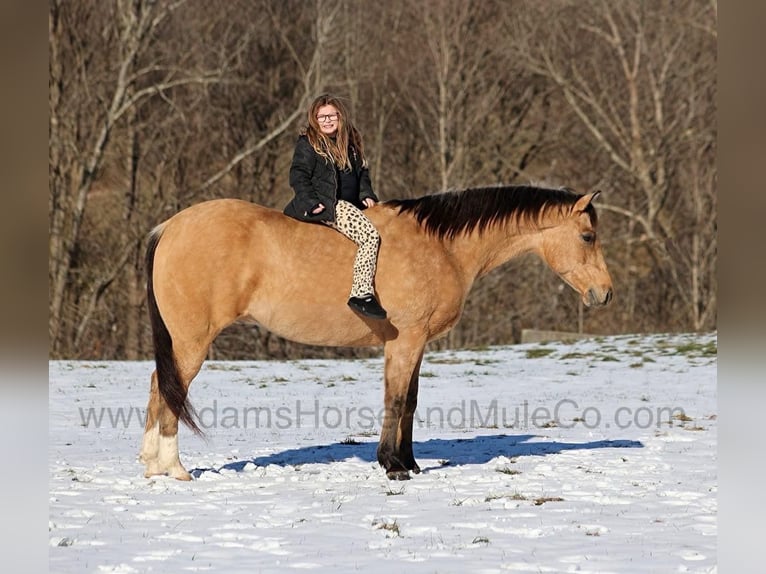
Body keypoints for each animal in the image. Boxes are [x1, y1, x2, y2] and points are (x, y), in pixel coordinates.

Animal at [140, 185, 613, 481]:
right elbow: (397, 400)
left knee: (158, 386)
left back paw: (151, 464)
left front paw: (410, 462)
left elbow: (411, 402)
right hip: (192, 342)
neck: (441, 245)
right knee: (171, 390)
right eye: (588, 236)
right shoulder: (405, 341)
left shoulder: (415, 345)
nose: (605, 294)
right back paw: (175, 468)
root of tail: (169, 227)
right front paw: (393, 465)